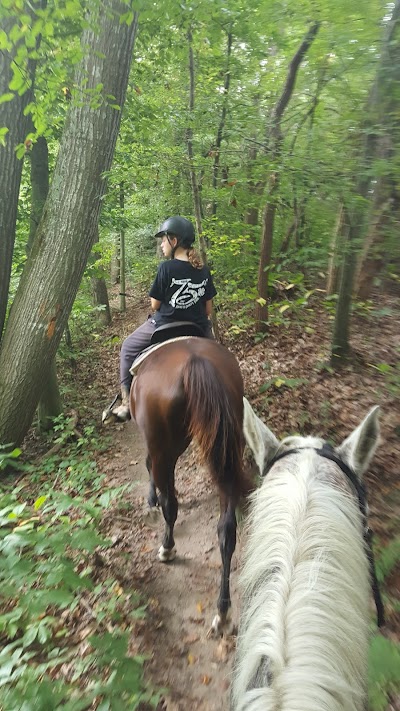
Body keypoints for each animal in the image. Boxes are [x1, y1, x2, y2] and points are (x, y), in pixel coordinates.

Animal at [130, 336, 247, 636]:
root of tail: (196, 362)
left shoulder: (155, 446)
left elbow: (150, 469)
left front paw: (151, 501)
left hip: (164, 446)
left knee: (170, 504)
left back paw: (167, 548)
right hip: (227, 447)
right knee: (226, 530)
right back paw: (222, 612)